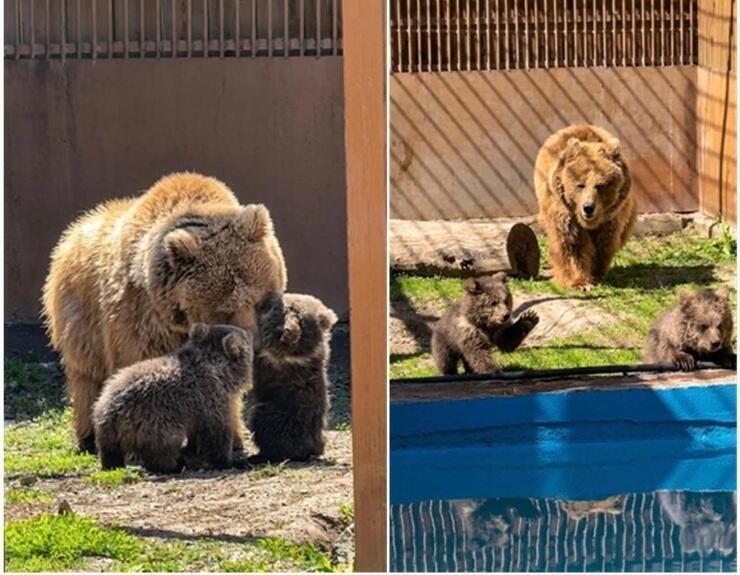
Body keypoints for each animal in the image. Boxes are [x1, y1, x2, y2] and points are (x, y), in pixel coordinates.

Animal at [42, 172, 287, 454]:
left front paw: (231, 438)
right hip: (82, 321)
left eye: (261, 302)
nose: (252, 344)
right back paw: (90, 437)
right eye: (224, 309)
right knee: (87, 377)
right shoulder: (142, 321)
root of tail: (74, 230)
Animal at [92, 323, 253, 474]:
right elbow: (217, 431)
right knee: (162, 451)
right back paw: (174, 465)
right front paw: (228, 460)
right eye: (245, 338)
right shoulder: (214, 396)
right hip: (158, 425)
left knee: (110, 453)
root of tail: (110, 414)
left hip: (107, 435)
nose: (248, 332)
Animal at [534, 124, 637, 290]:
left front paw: (596, 272)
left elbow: (604, 242)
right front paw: (579, 282)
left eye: (600, 185)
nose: (588, 207)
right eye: (580, 185)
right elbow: (572, 243)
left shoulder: (611, 217)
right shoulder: (564, 210)